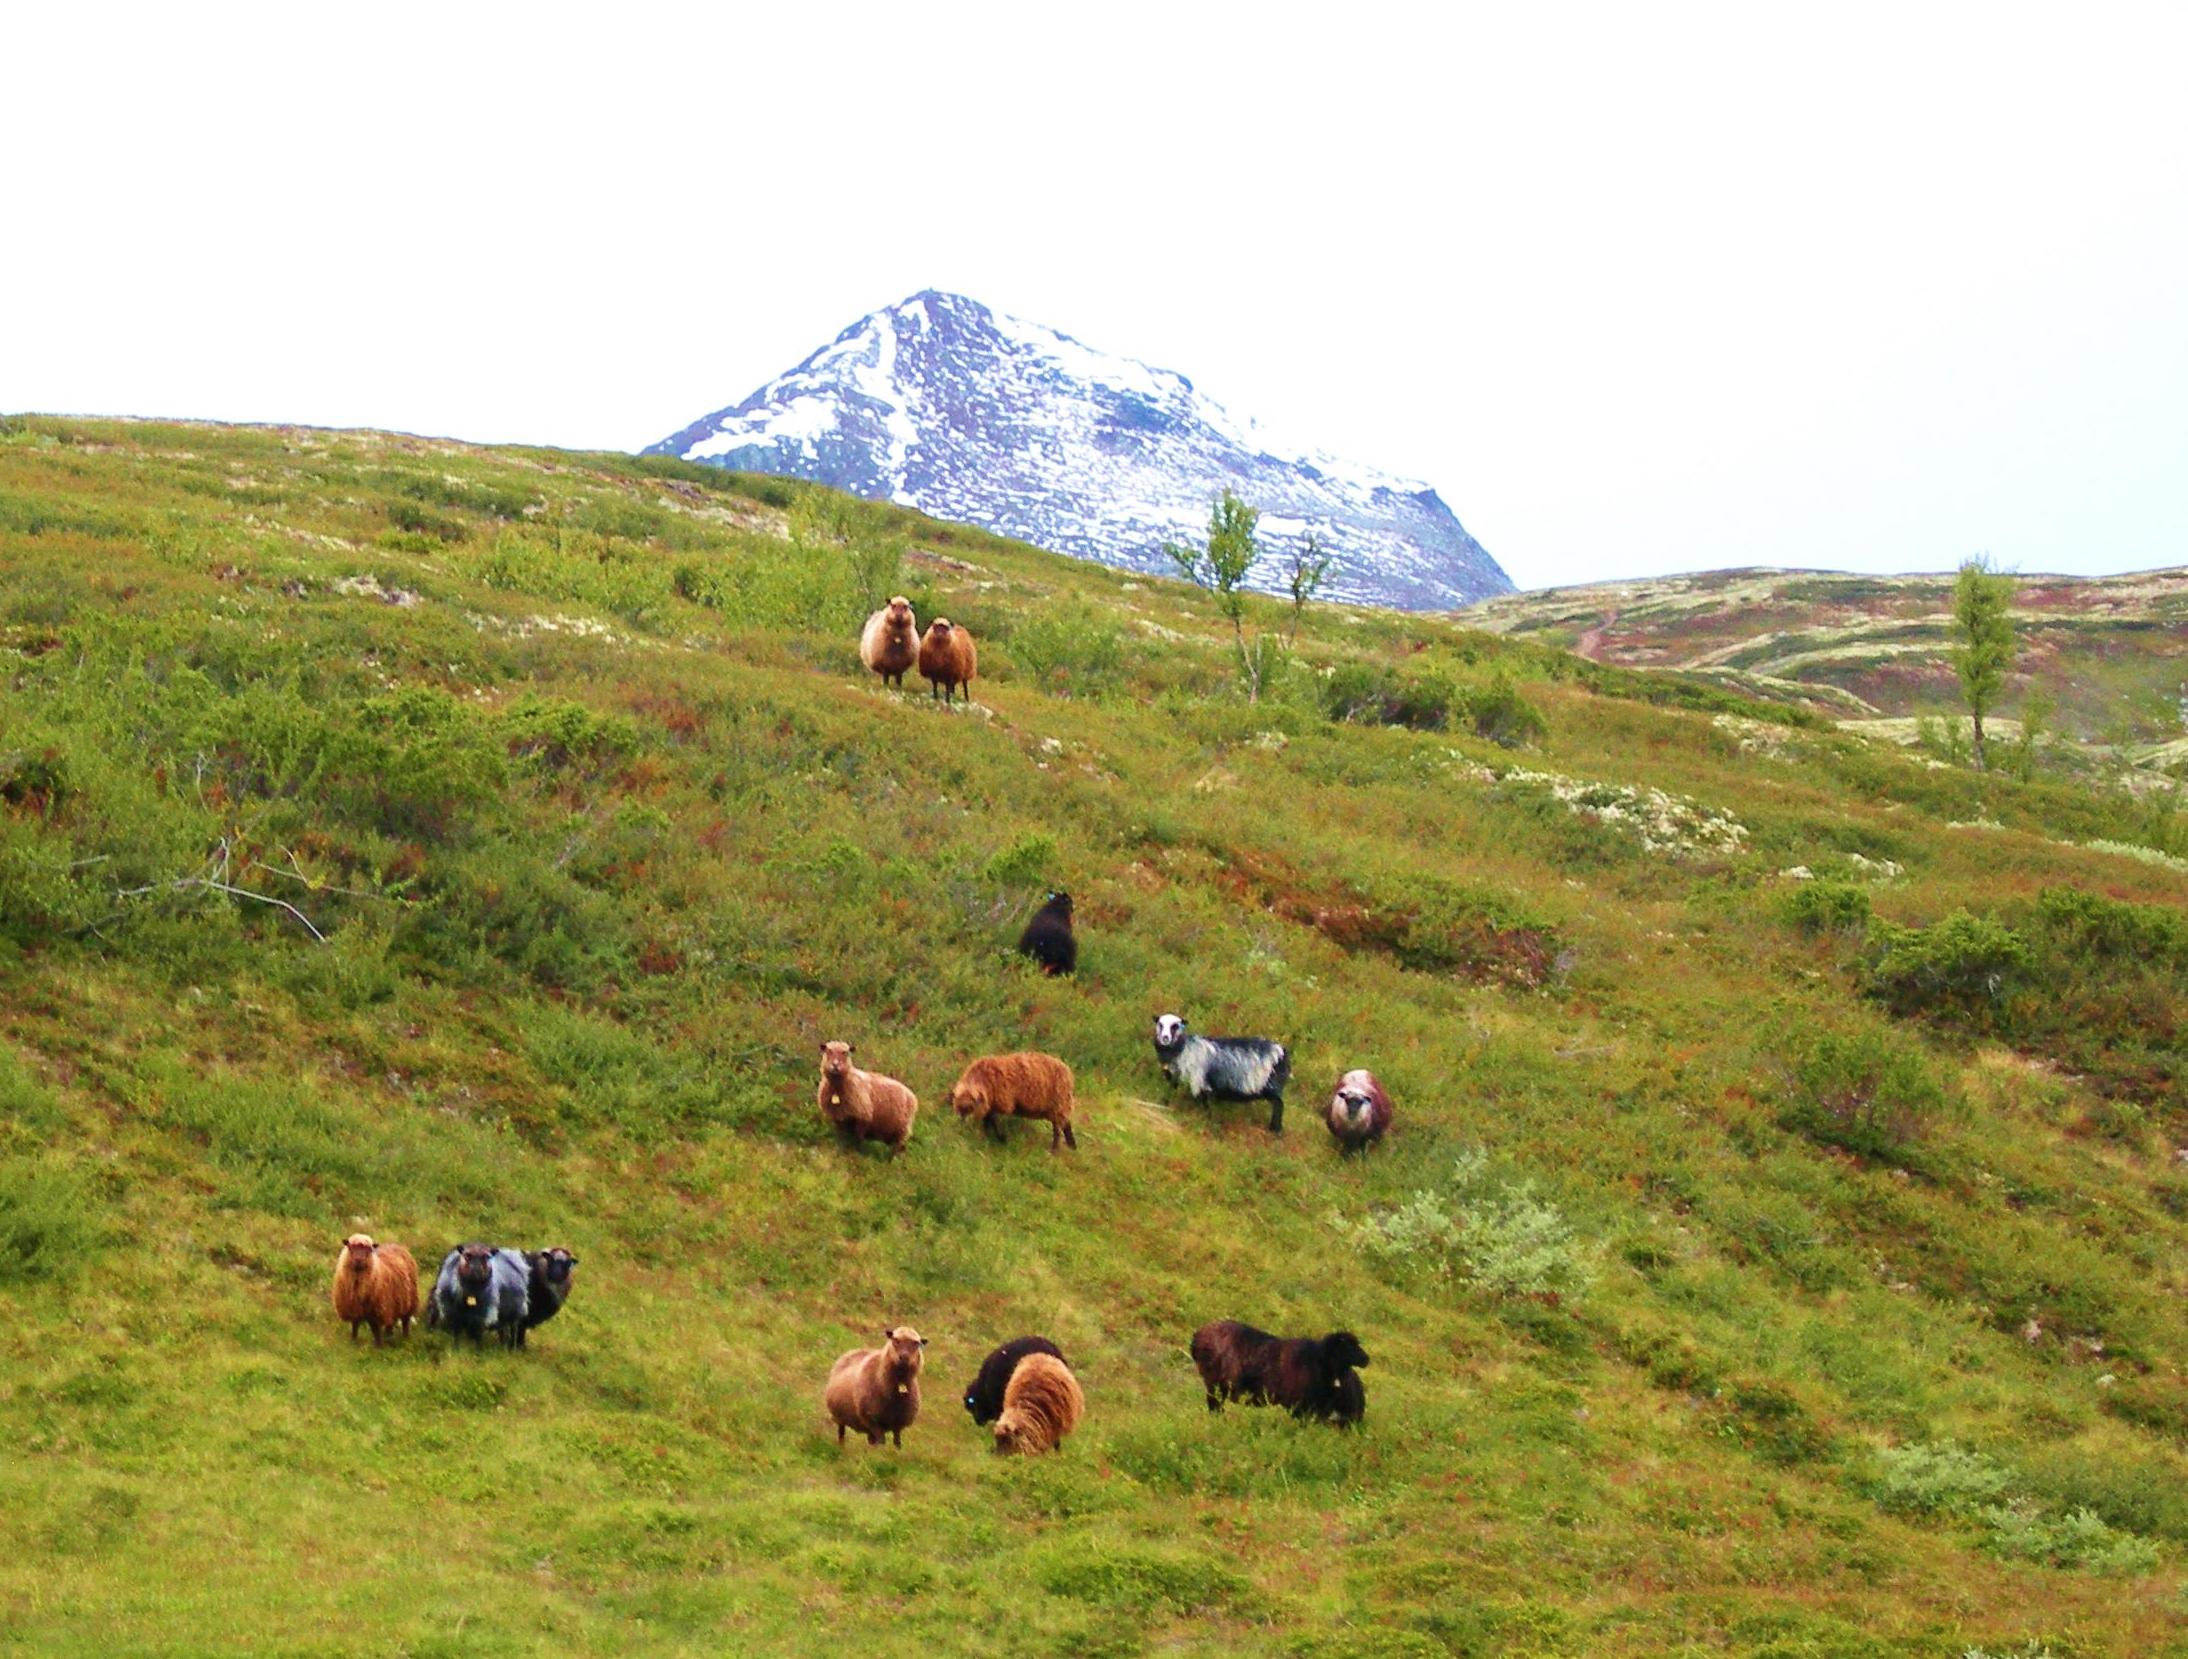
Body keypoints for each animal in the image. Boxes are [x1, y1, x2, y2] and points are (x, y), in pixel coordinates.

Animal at [1155, 1019, 1286, 1138]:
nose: (1164, 1039)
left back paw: (1276, 1130)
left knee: (1278, 1104)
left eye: (1174, 1027)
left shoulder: (1200, 1083)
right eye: (1160, 1025)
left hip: (1268, 1087)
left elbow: (1205, 1104)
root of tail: (1280, 1053)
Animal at [1199, 1321, 1365, 1427]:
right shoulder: (1302, 1407)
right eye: (1348, 1346)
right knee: (1214, 1406)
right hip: (1214, 1387)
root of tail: (1197, 1337)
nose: (1366, 1359)